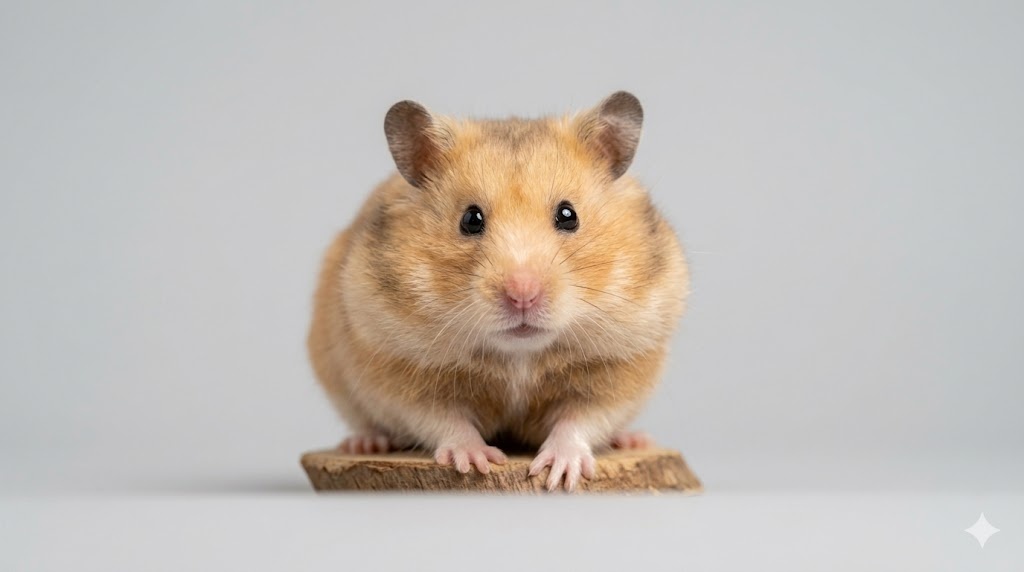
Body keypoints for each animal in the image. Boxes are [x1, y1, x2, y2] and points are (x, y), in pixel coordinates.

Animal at [307, 91, 689, 491]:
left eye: (568, 215)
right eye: (470, 219)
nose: (522, 295)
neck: (519, 355)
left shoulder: (620, 366)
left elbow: (580, 420)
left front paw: (559, 472)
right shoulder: (399, 367)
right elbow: (444, 420)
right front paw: (476, 462)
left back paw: (634, 439)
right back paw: (366, 443)